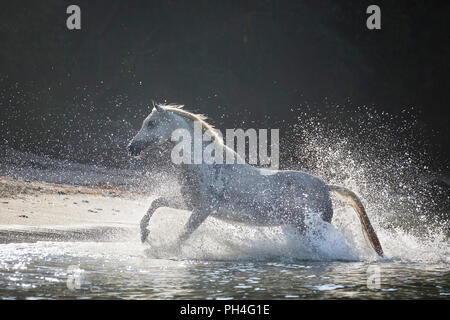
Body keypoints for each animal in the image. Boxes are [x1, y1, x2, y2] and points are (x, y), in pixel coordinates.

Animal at [126, 103, 384, 258]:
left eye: (151, 123)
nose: (131, 147)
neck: (205, 164)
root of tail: (325, 186)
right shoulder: (189, 202)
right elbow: (156, 203)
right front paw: (144, 235)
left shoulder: (204, 208)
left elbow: (185, 232)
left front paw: (166, 249)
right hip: (297, 227)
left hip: (312, 226)